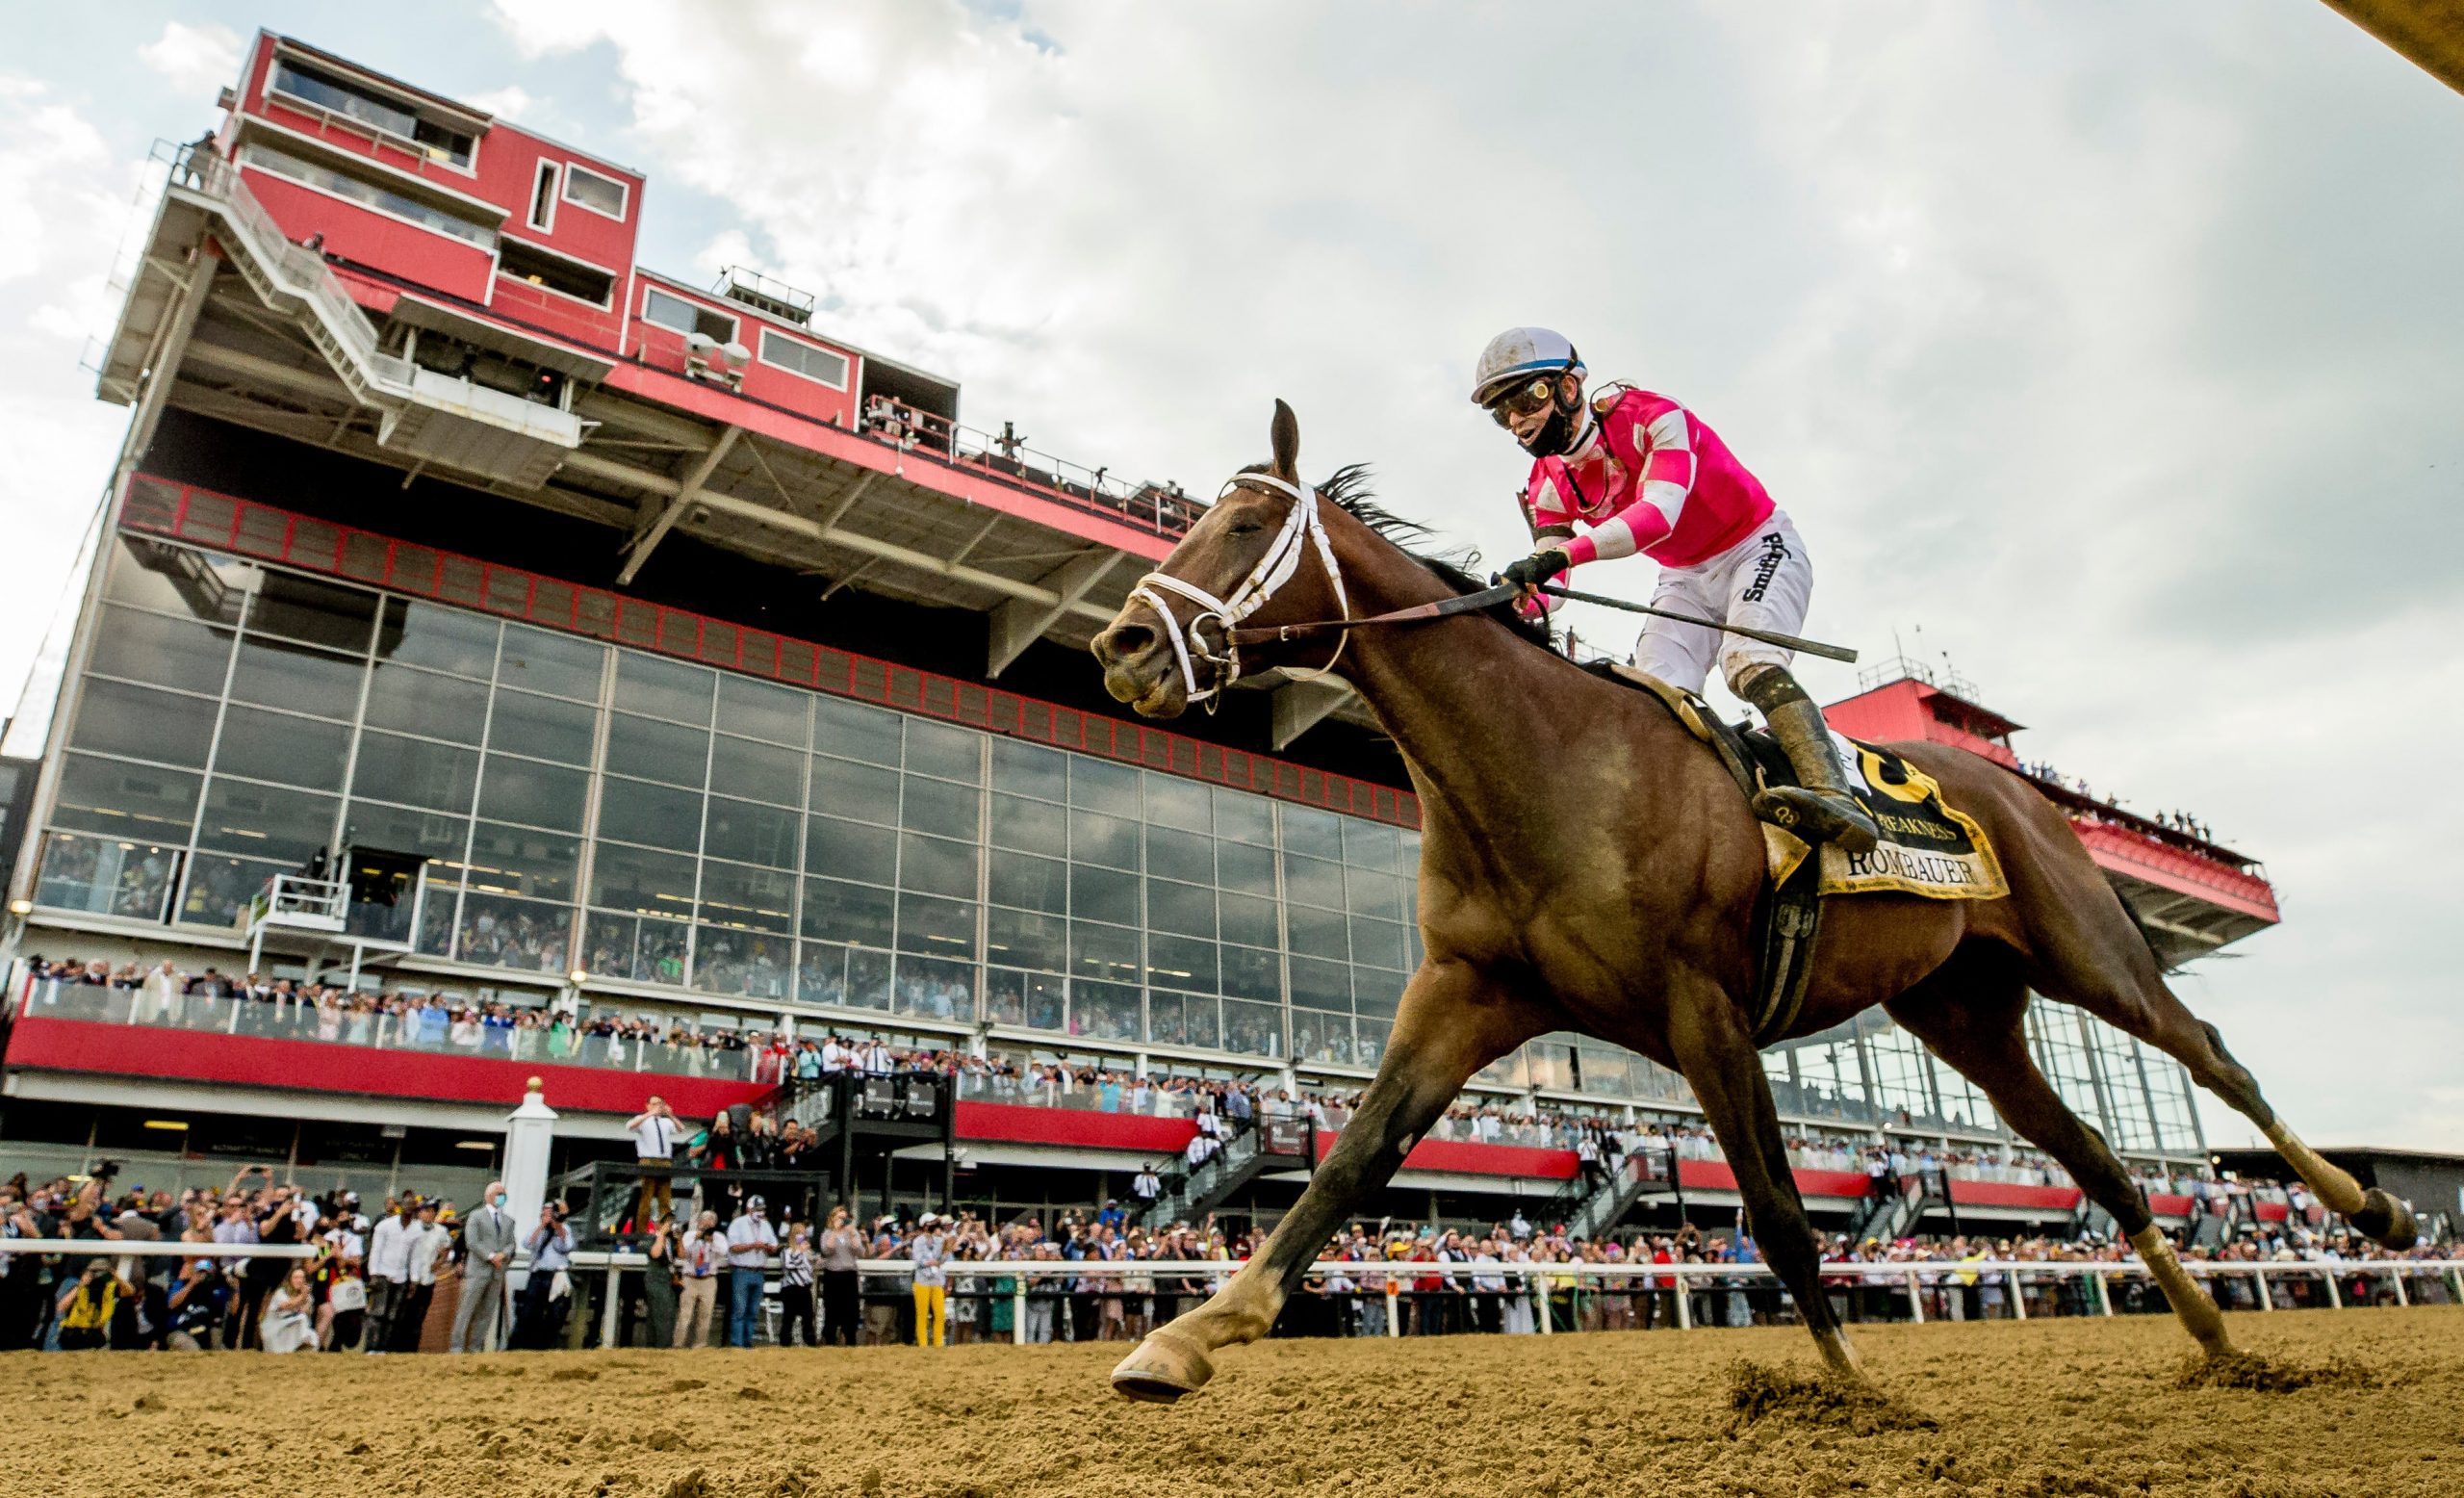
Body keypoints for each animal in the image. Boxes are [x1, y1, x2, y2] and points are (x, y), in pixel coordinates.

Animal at [1089, 401, 2414, 1399]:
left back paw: (2376, 1210)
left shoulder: (1703, 1004)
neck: (1542, 765)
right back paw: (2217, 1336)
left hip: (2087, 952)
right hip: (1964, 1011)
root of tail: (2022, 788)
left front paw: (1855, 1389)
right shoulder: (1467, 990)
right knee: (2097, 1157)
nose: (1121, 649)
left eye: (1243, 520)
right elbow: (1348, 1163)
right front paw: (1184, 1336)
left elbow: (1778, 1210)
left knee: (2215, 1057)